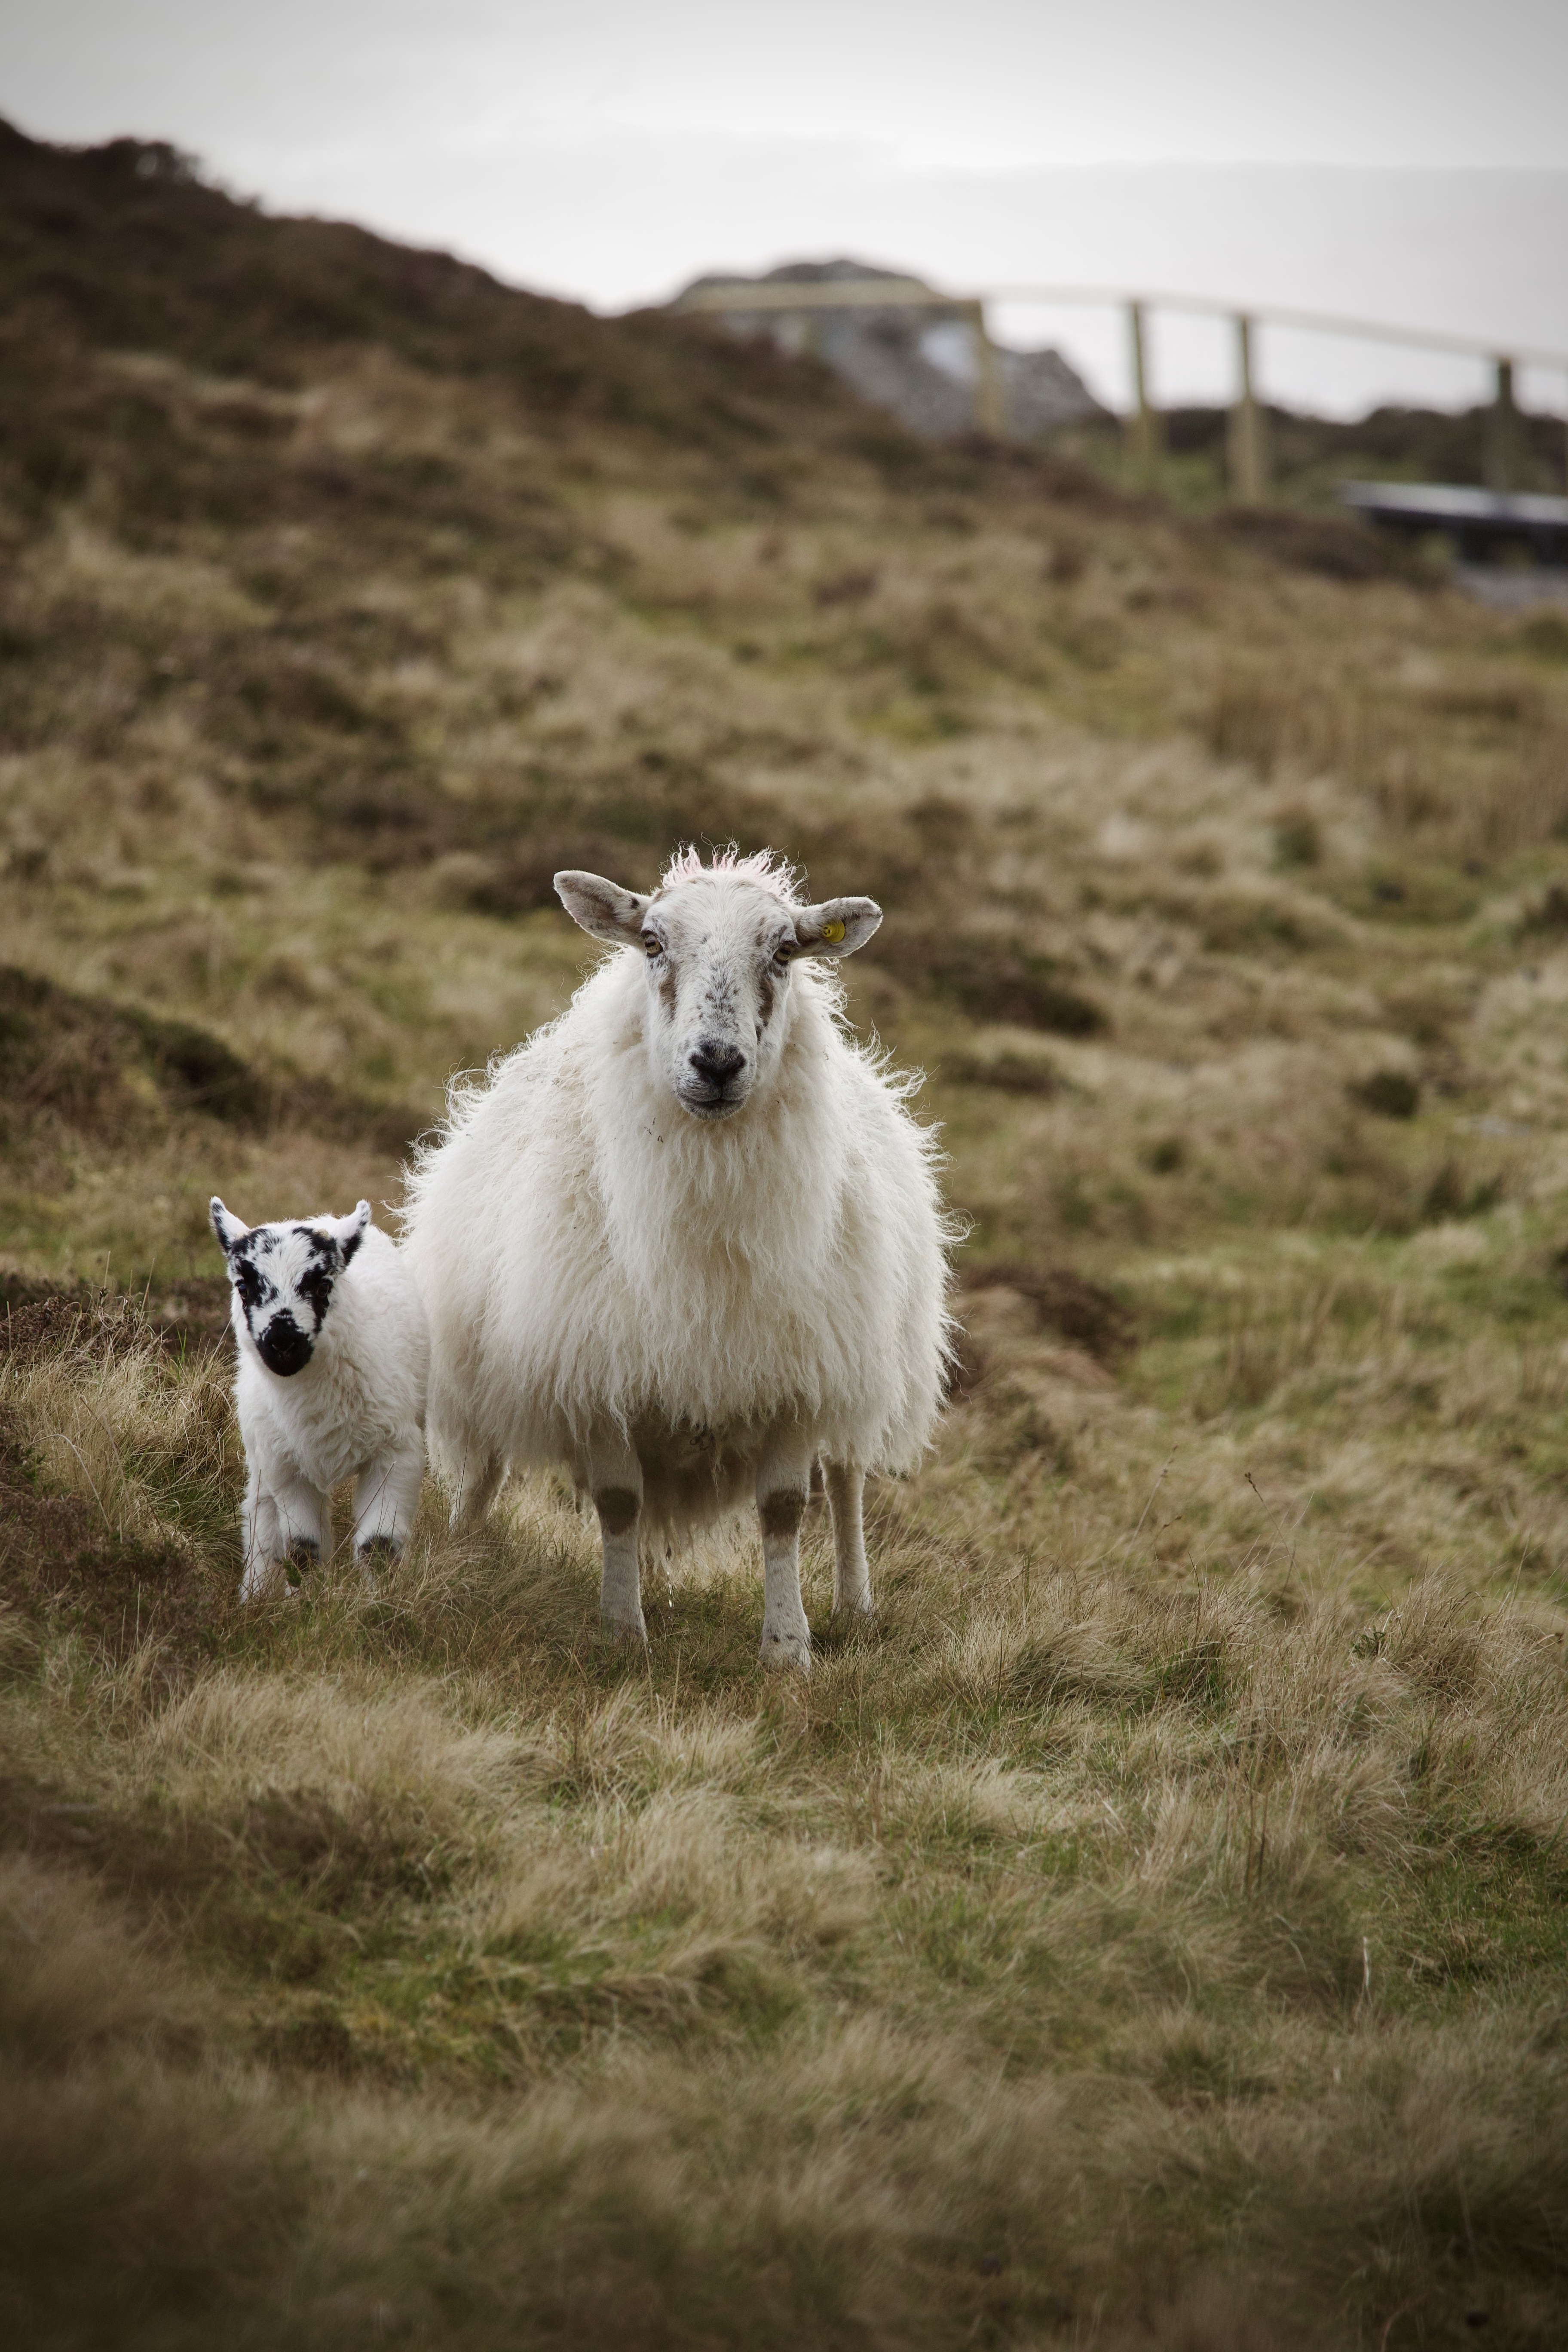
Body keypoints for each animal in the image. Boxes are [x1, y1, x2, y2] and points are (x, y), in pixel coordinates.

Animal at [210, 1197, 429, 1601]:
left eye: (324, 1286)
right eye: (243, 1288)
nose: (283, 1343)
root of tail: (322, 1217)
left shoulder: (396, 1453)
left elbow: (378, 1546)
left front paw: (381, 1606)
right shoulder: (288, 1467)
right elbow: (302, 1548)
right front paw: (306, 1605)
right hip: (263, 1456)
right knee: (261, 1514)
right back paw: (255, 1595)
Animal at [401, 847, 953, 1669]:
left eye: (784, 951)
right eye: (653, 943)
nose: (717, 1061)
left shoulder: (796, 1369)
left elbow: (785, 1508)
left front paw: (787, 1647)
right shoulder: (596, 1360)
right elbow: (619, 1502)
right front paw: (622, 1632)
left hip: (858, 1349)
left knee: (847, 1477)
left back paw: (855, 1605)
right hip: (487, 1346)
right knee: (488, 1458)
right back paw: (469, 1548)